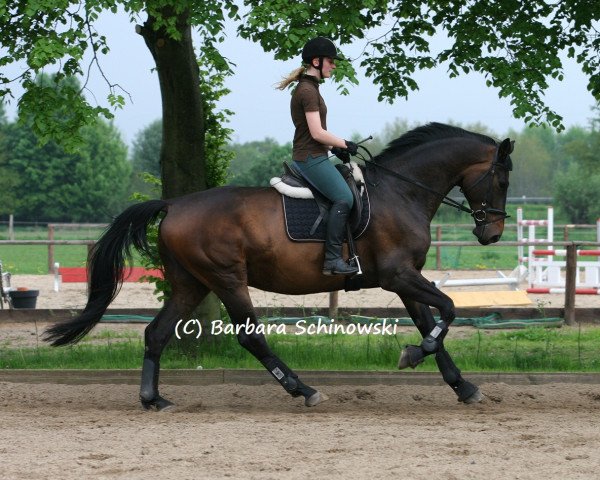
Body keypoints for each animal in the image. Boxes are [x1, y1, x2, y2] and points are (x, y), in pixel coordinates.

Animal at [45, 123, 516, 408]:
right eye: (503, 178)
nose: (492, 234)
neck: (402, 193)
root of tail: (174, 204)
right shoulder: (399, 275)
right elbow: (448, 310)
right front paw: (413, 355)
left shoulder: (405, 278)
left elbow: (430, 322)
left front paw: (462, 385)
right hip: (227, 279)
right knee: (250, 337)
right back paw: (303, 389)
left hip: (191, 284)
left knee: (156, 333)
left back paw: (152, 398)